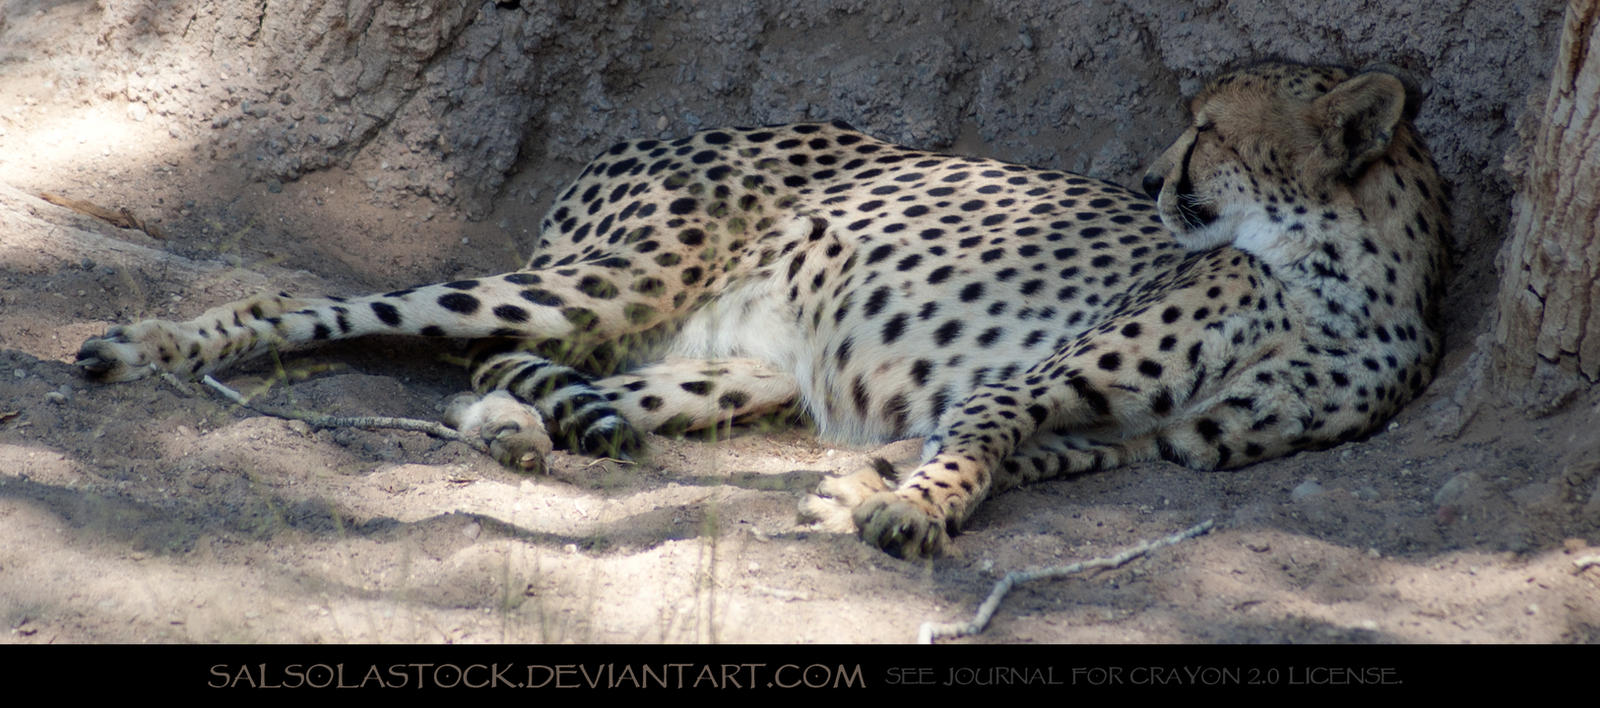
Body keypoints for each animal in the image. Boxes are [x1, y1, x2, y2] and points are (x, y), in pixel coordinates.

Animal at [77, 61, 1449, 559]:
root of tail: (660, 128)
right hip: (604, 276)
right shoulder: (1034, 383)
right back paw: (150, 344)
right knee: (325, 304)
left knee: (524, 377)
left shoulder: (1142, 438)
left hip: (741, 366)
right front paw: (907, 511)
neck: (1339, 277)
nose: (1151, 178)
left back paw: (524, 429)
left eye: (1210, 130)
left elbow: (995, 451)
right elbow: (978, 447)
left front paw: (867, 487)